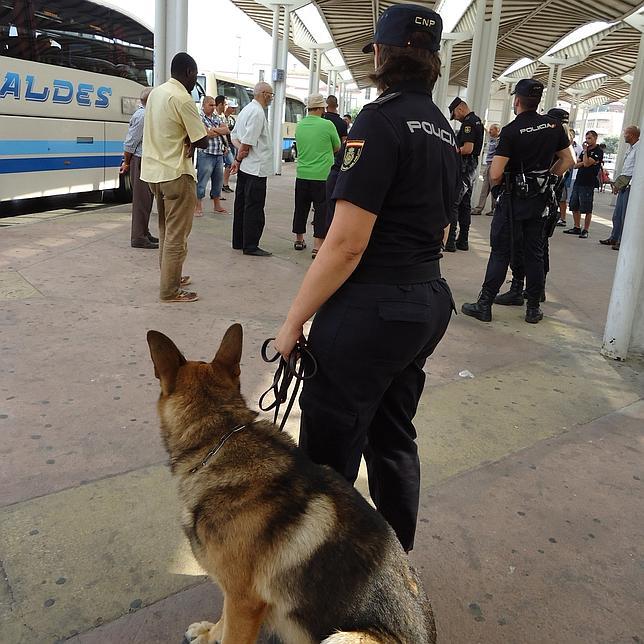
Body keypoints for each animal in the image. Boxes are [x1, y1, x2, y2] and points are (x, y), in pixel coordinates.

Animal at [147, 328, 438, 644]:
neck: (220, 438)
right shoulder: (234, 594)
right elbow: (223, 619)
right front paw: (210, 633)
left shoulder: (245, 601)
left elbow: (233, 632)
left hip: (343, 637)